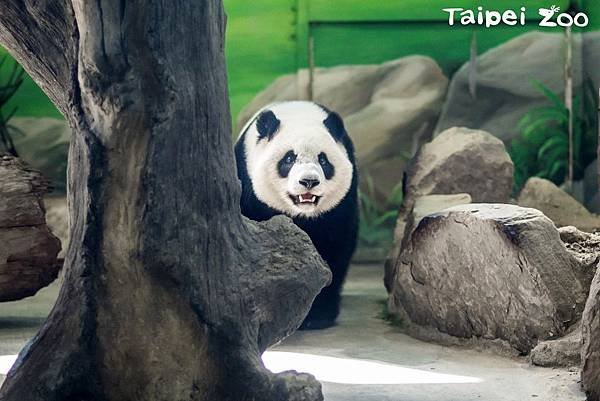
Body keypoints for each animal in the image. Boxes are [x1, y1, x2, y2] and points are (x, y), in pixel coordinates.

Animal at [233, 100, 356, 328]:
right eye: (289, 158)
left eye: (323, 160)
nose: (309, 181)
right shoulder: (247, 185)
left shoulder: (341, 205)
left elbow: (335, 247)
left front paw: (318, 315)